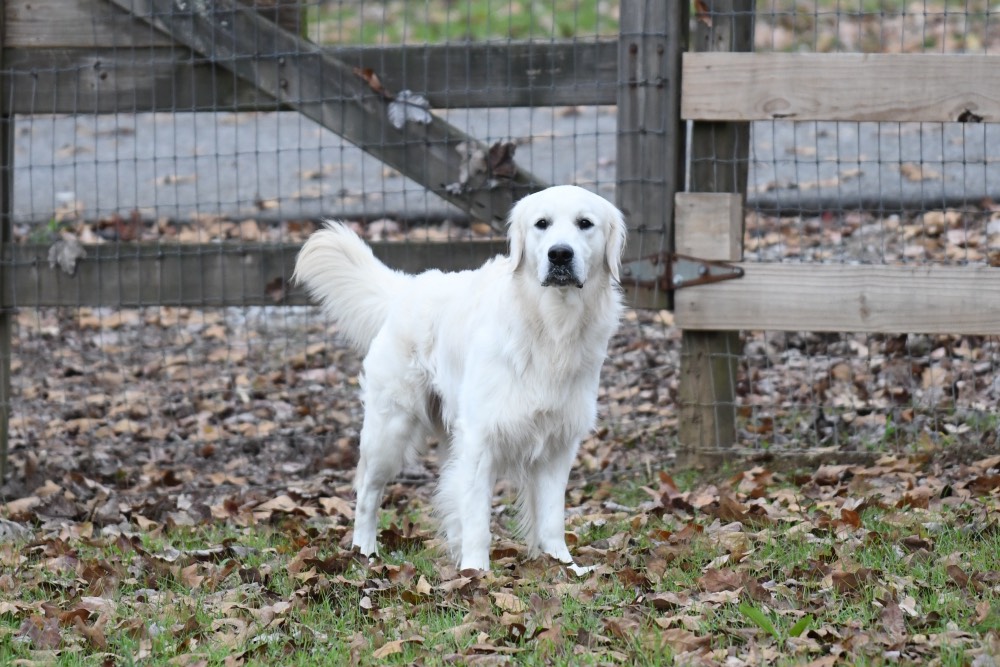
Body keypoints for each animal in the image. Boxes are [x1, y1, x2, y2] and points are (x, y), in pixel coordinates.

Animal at [292, 185, 628, 572]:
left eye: (585, 223)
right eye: (542, 224)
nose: (560, 254)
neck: (550, 324)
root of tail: (408, 288)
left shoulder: (559, 442)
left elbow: (551, 517)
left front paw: (562, 565)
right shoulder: (481, 438)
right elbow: (478, 517)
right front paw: (476, 571)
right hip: (389, 430)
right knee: (367, 492)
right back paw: (364, 550)